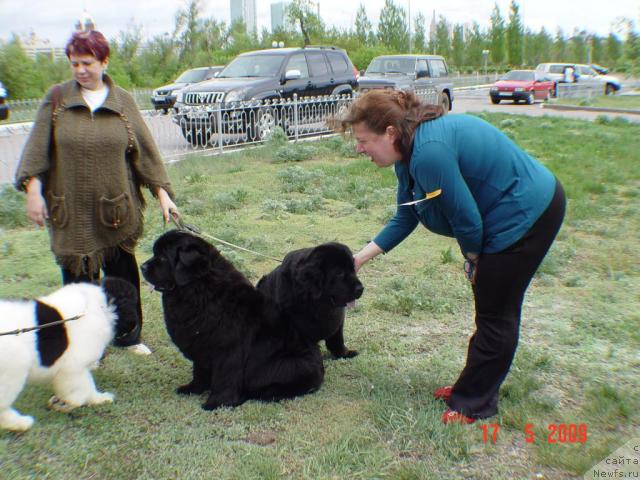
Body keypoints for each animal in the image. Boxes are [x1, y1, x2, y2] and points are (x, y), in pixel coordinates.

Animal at [0, 278, 138, 432]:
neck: (100, 305)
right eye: (134, 303)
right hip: (14, 368)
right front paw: (77, 401)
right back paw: (19, 422)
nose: (135, 328)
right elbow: (84, 386)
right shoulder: (74, 367)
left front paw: (96, 399)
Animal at [138, 231, 322, 410]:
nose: (142, 267)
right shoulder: (202, 344)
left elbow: (225, 378)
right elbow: (199, 371)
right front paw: (193, 389)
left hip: (291, 363)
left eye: (163, 257)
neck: (198, 289)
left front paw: (216, 403)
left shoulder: (228, 350)